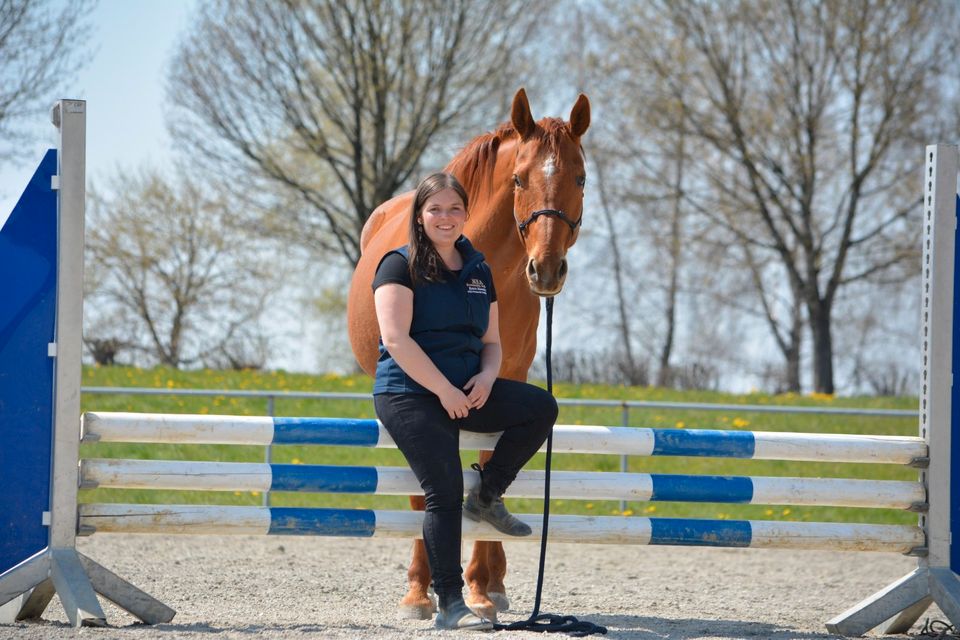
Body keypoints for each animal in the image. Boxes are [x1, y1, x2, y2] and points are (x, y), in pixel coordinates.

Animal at [344, 89, 584, 620]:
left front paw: (481, 587)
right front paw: (419, 591)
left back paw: (491, 582)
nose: (547, 270)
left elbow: (491, 463)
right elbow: (427, 487)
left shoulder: (507, 376)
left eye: (580, 177)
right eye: (519, 178)